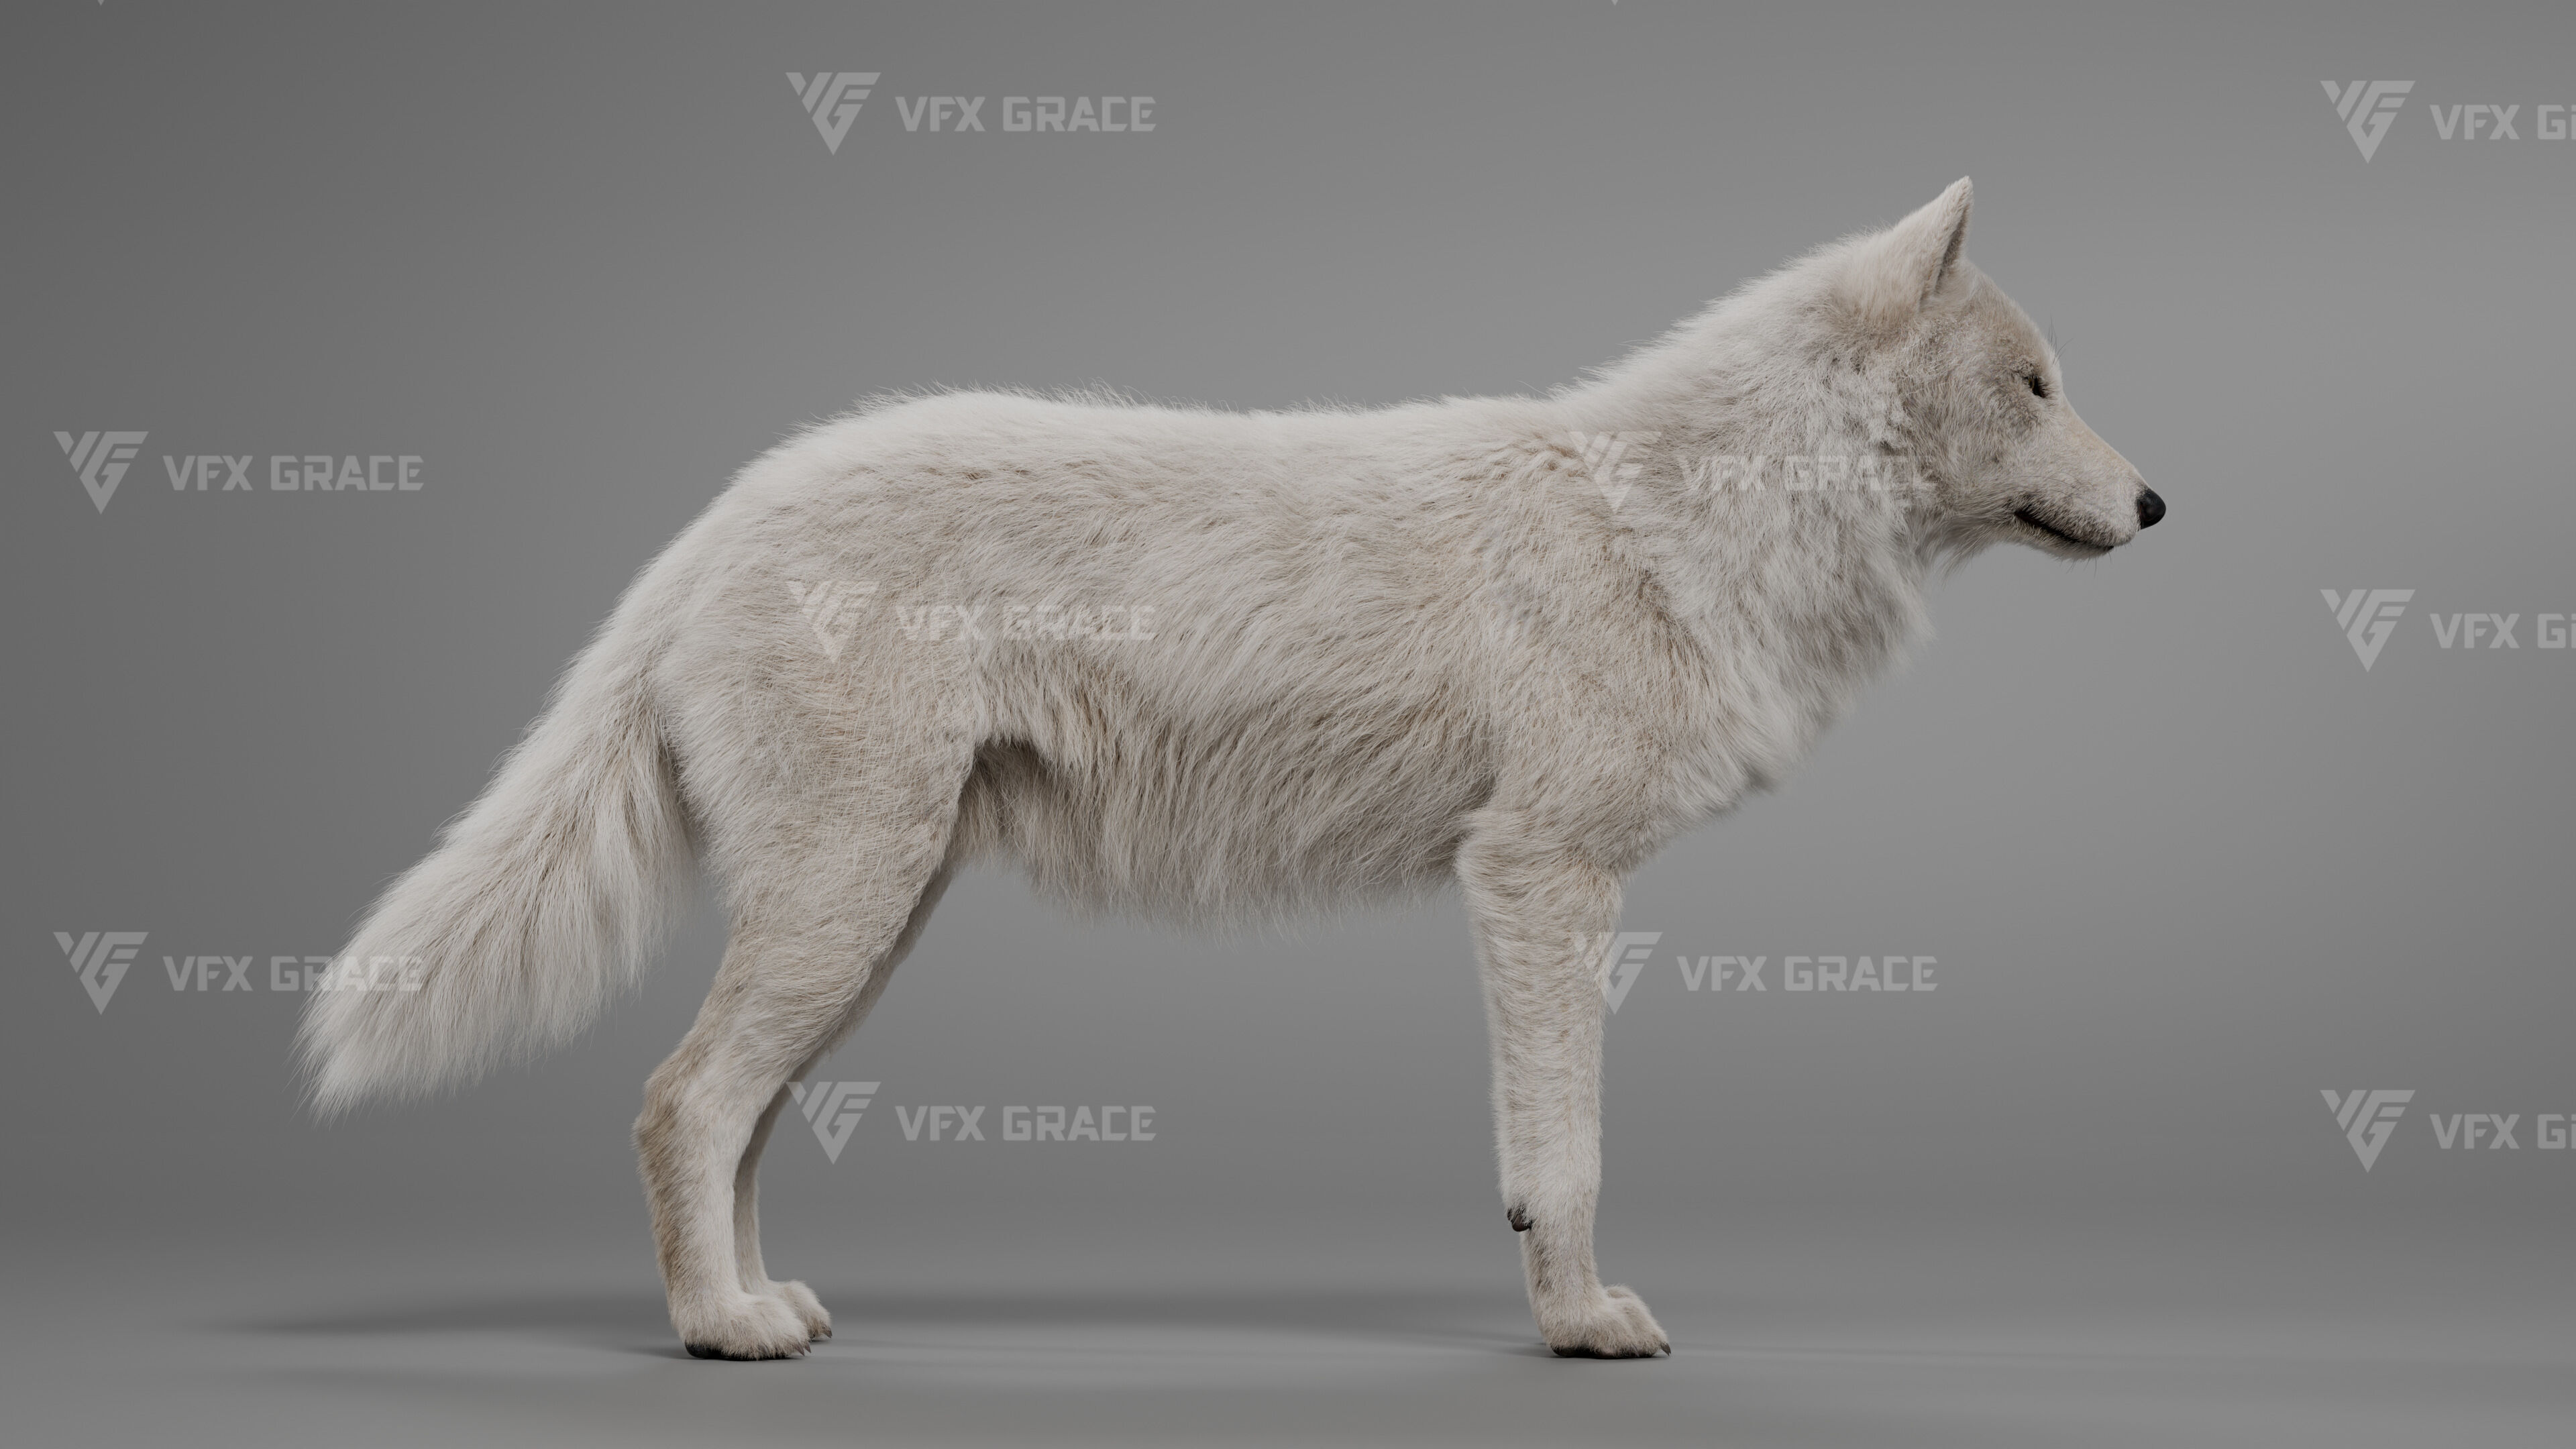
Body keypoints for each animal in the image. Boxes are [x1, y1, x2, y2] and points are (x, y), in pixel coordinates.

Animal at [302, 178, 2160, 1360]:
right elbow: (1564, 1156)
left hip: (873, 918)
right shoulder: (1539, 878)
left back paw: (767, 1308)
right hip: (851, 905)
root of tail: (708, 525)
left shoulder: (1534, 886)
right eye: (2034, 385)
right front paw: (1580, 1325)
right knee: (679, 1100)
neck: (1687, 524)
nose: (2157, 504)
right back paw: (718, 1335)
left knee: (725, 1118)